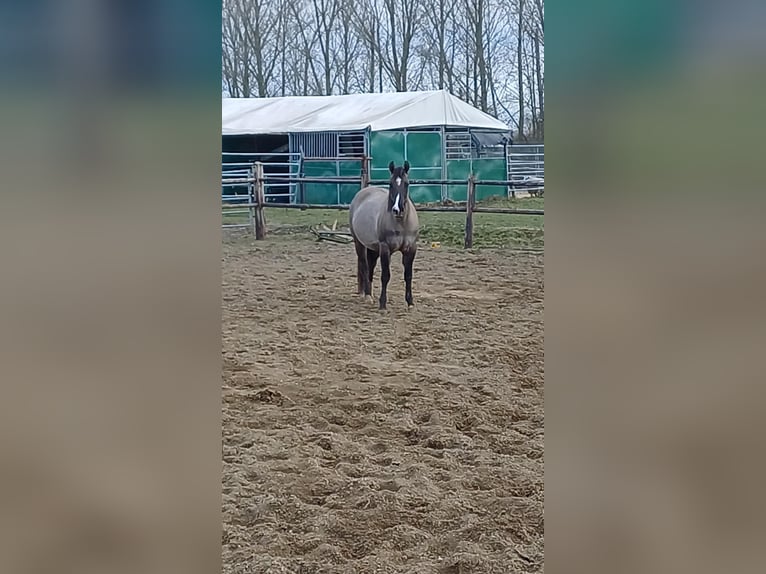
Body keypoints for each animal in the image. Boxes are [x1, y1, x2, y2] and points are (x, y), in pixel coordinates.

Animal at [349, 160, 419, 310]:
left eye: (407, 183)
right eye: (390, 184)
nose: (397, 209)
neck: (401, 222)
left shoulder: (411, 248)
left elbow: (408, 275)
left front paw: (410, 303)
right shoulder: (385, 248)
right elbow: (385, 276)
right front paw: (383, 304)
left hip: (373, 248)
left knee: (370, 266)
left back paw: (370, 294)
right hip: (359, 243)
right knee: (364, 266)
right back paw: (367, 296)